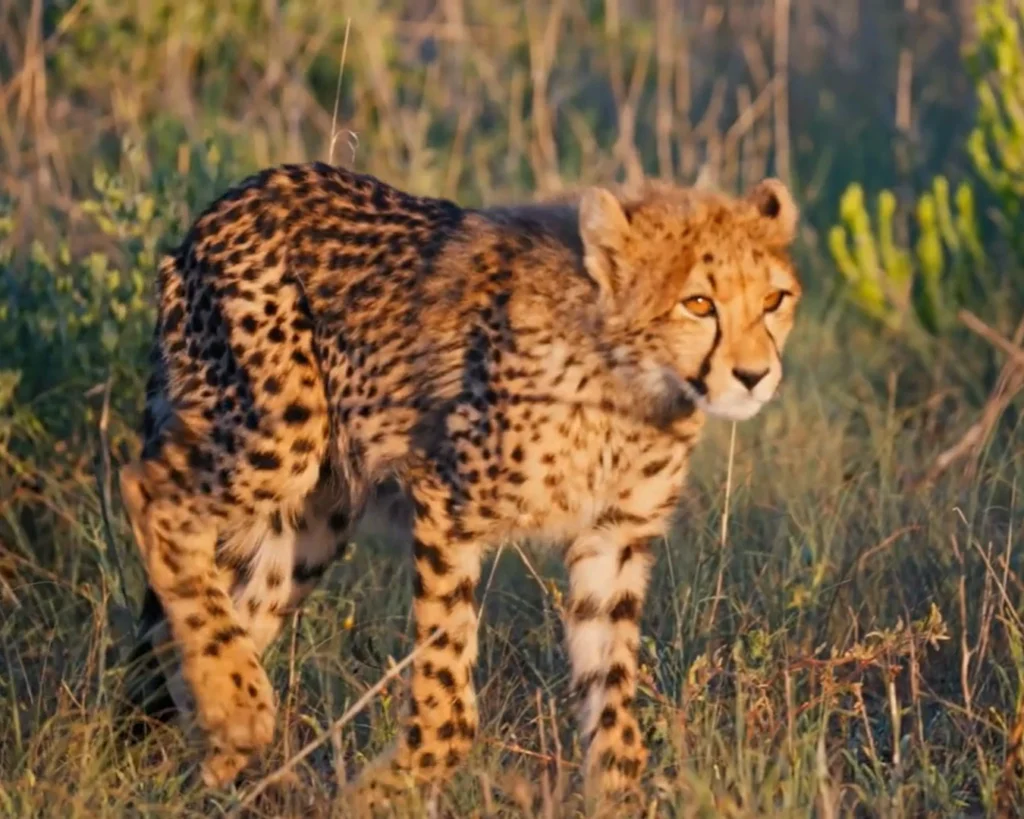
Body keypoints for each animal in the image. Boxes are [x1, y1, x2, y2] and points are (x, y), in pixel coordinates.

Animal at [117, 159, 802, 813]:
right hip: (282, 430)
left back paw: (209, 748)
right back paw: (238, 713)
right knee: (151, 492)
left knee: (216, 609)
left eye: (774, 299)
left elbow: (612, 711)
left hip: (314, 518)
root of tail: (234, 197)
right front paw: (369, 798)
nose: (755, 375)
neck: (631, 382)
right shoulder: (449, 507)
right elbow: (447, 703)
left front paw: (617, 798)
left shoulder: (612, 541)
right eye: (698, 304)